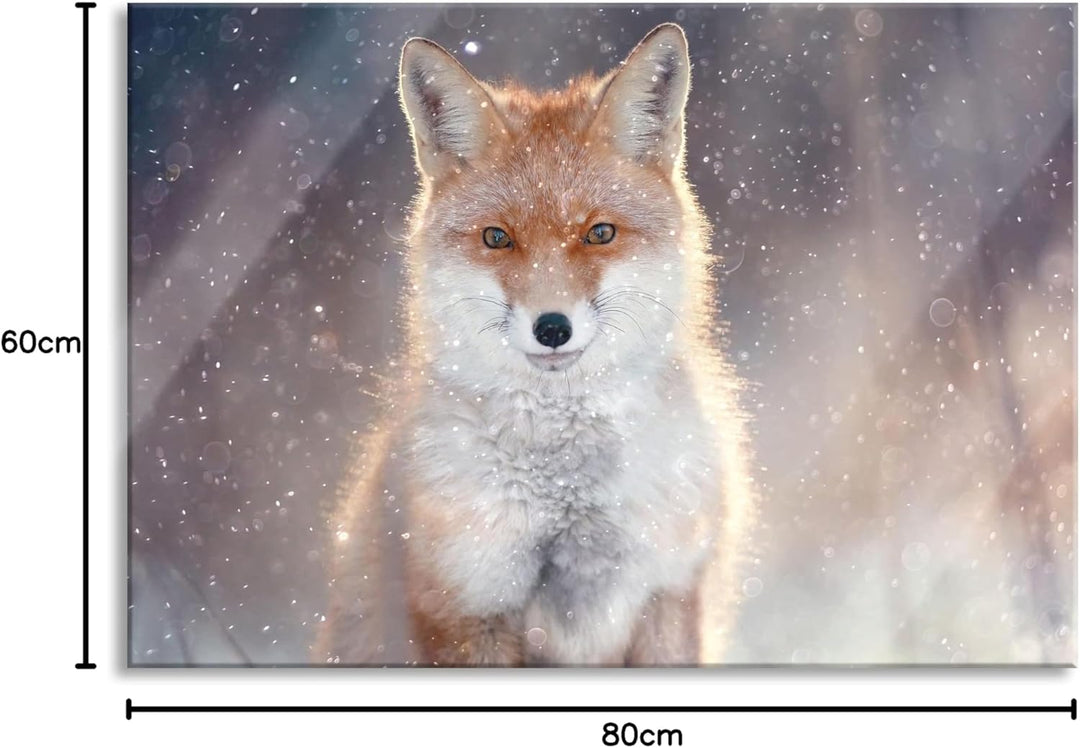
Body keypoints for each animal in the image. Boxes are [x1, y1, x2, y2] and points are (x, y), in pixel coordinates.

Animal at [317, 23, 756, 666]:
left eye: (599, 233)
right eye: (497, 238)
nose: (552, 328)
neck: (568, 492)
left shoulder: (669, 591)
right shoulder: (467, 602)